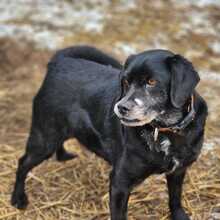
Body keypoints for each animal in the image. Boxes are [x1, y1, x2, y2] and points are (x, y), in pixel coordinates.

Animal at [11, 45, 208, 219]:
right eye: (126, 82)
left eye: (151, 82)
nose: (121, 108)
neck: (165, 131)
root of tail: (60, 62)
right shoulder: (120, 182)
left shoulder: (178, 171)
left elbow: (175, 198)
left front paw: (180, 216)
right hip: (44, 138)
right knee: (23, 163)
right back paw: (18, 198)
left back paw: (63, 156)